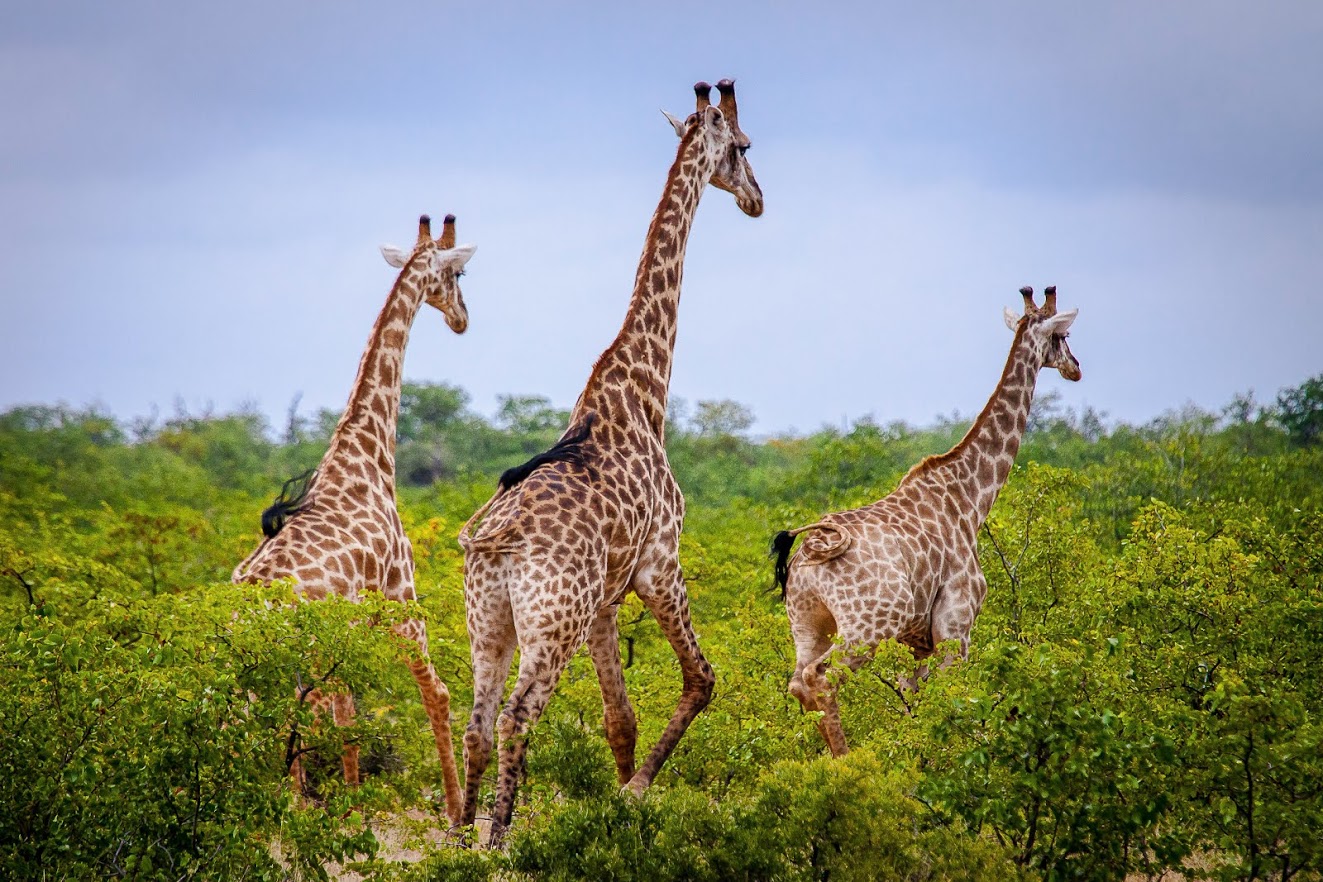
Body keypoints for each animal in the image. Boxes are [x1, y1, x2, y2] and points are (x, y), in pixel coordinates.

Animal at [232, 214, 475, 824]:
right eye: (459, 273)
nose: (462, 319)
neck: (366, 453)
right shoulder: (401, 596)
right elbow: (435, 693)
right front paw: (456, 812)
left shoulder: (346, 634)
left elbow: (346, 711)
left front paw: (352, 807)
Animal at [457, 79, 763, 845]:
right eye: (744, 147)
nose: (757, 199)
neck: (642, 392)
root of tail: (498, 540)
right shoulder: (660, 564)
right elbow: (702, 679)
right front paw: (635, 796)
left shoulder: (605, 601)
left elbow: (618, 719)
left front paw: (620, 806)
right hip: (550, 620)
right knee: (517, 715)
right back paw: (498, 838)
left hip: (490, 617)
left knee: (477, 721)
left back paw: (458, 839)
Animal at [771, 286, 1081, 757]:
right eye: (1063, 336)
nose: (1075, 368)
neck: (970, 499)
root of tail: (812, 547)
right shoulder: (957, 621)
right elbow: (956, 699)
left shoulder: (916, 640)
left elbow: (913, 701)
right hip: (869, 624)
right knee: (821, 679)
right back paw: (845, 762)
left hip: (807, 622)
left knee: (798, 682)